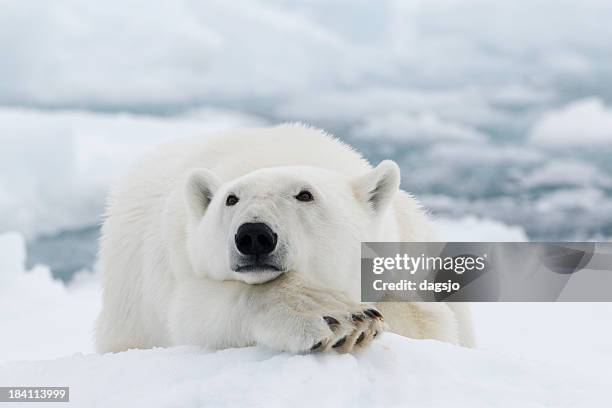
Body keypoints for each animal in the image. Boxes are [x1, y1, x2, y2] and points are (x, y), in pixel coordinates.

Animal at [97, 124, 478, 354]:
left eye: (305, 194)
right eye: (230, 199)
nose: (254, 235)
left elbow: (429, 321)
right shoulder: (179, 263)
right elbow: (194, 310)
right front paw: (338, 317)